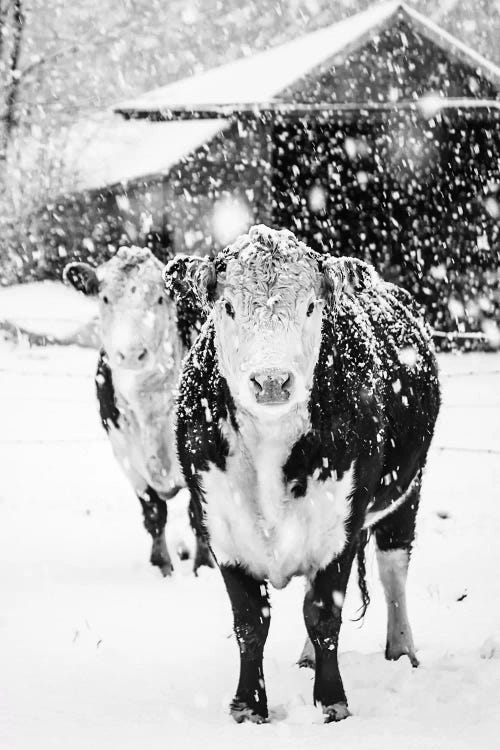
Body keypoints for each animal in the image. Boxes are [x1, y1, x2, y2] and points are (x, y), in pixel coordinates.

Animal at [62, 247, 211, 576]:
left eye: (159, 299)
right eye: (105, 298)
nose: (131, 354)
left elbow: (199, 514)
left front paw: (203, 566)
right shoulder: (126, 457)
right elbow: (154, 513)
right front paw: (162, 565)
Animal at [166, 226, 440, 724]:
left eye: (311, 306)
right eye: (227, 306)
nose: (272, 381)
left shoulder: (339, 524)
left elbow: (324, 614)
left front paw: (332, 702)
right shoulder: (223, 527)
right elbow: (250, 621)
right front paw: (248, 706)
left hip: (407, 490)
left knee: (394, 571)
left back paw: (401, 650)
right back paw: (308, 659)